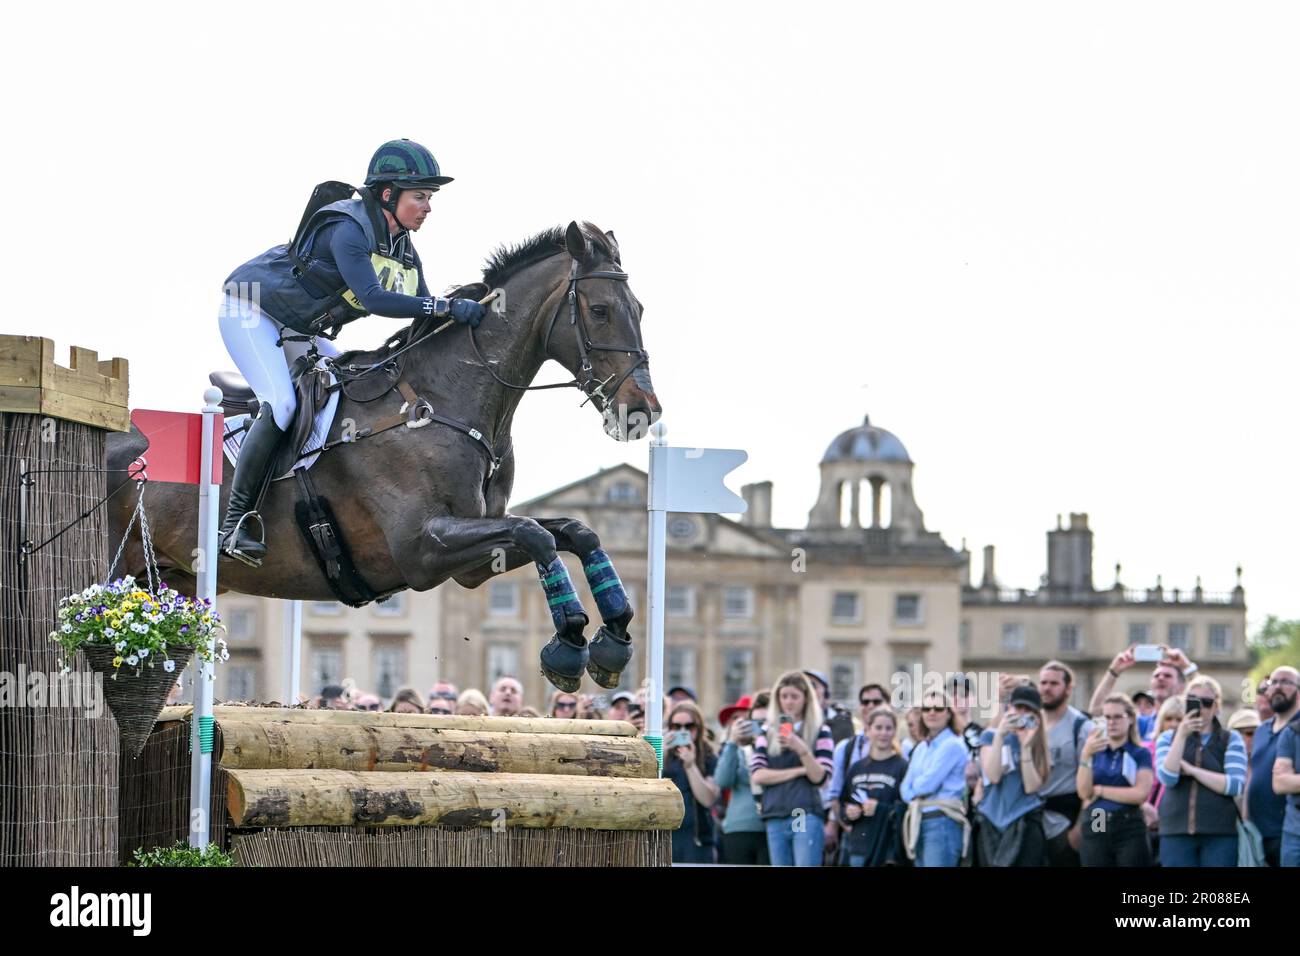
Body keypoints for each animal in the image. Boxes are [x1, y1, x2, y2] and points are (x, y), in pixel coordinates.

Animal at [106, 221, 660, 691]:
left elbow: (574, 531)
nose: (642, 411)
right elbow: (537, 534)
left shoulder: (474, 557)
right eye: (600, 311)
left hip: (167, 580)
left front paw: (612, 639)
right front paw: (568, 644)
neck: (444, 402)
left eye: (639, 309)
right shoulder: (422, 549)